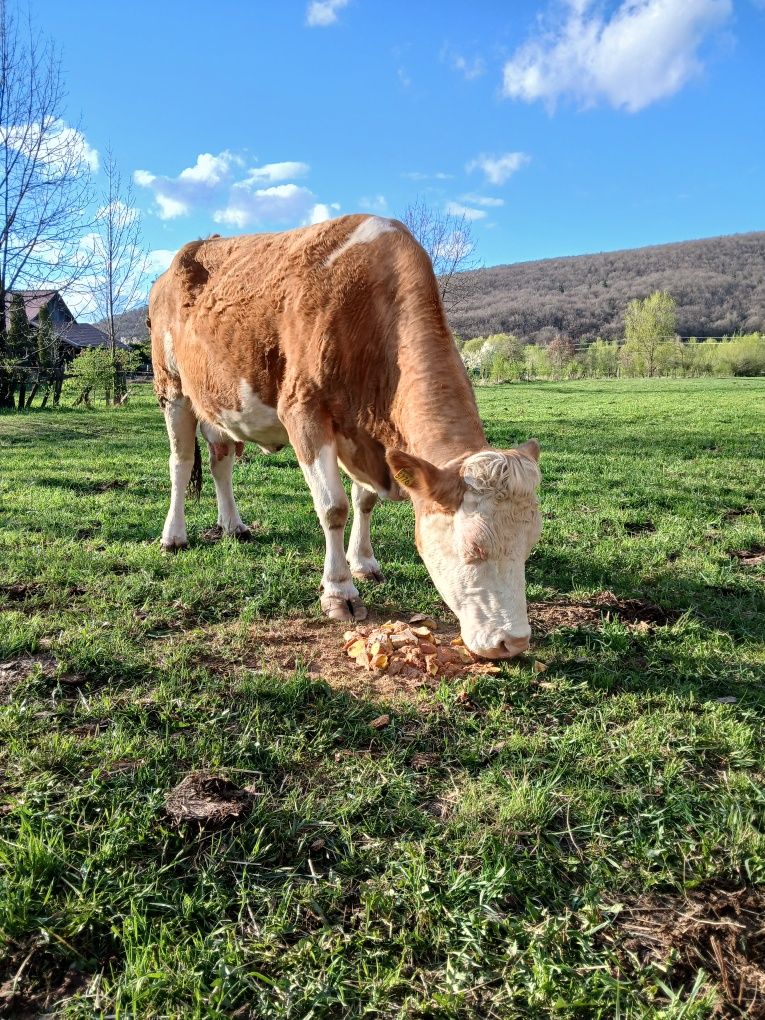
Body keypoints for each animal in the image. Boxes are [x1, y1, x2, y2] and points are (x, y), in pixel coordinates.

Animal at [149, 215, 542, 660]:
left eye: (529, 545)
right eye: (472, 550)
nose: (514, 642)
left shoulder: (363, 435)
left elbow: (364, 500)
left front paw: (364, 563)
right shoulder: (304, 410)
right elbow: (333, 507)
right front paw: (339, 592)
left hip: (218, 398)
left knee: (221, 460)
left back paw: (234, 525)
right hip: (172, 387)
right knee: (181, 463)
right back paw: (173, 536)